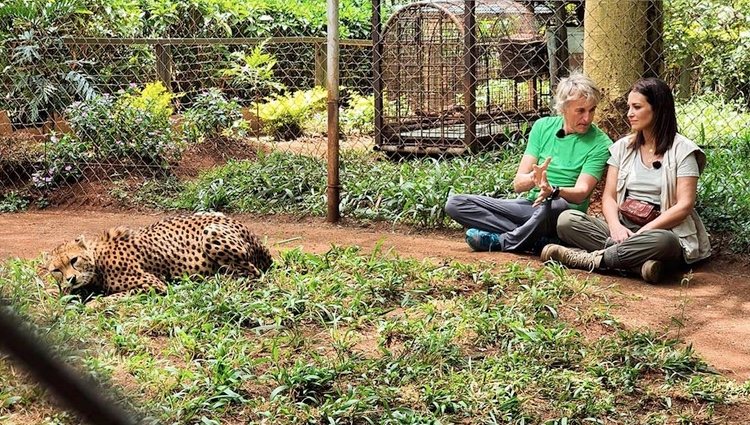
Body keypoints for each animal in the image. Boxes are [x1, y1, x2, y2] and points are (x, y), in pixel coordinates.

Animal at [45, 212, 274, 294]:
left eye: (74, 260)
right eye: (56, 270)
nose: (71, 279)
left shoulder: (154, 284)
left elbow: (112, 297)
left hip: (211, 231)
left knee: (250, 273)